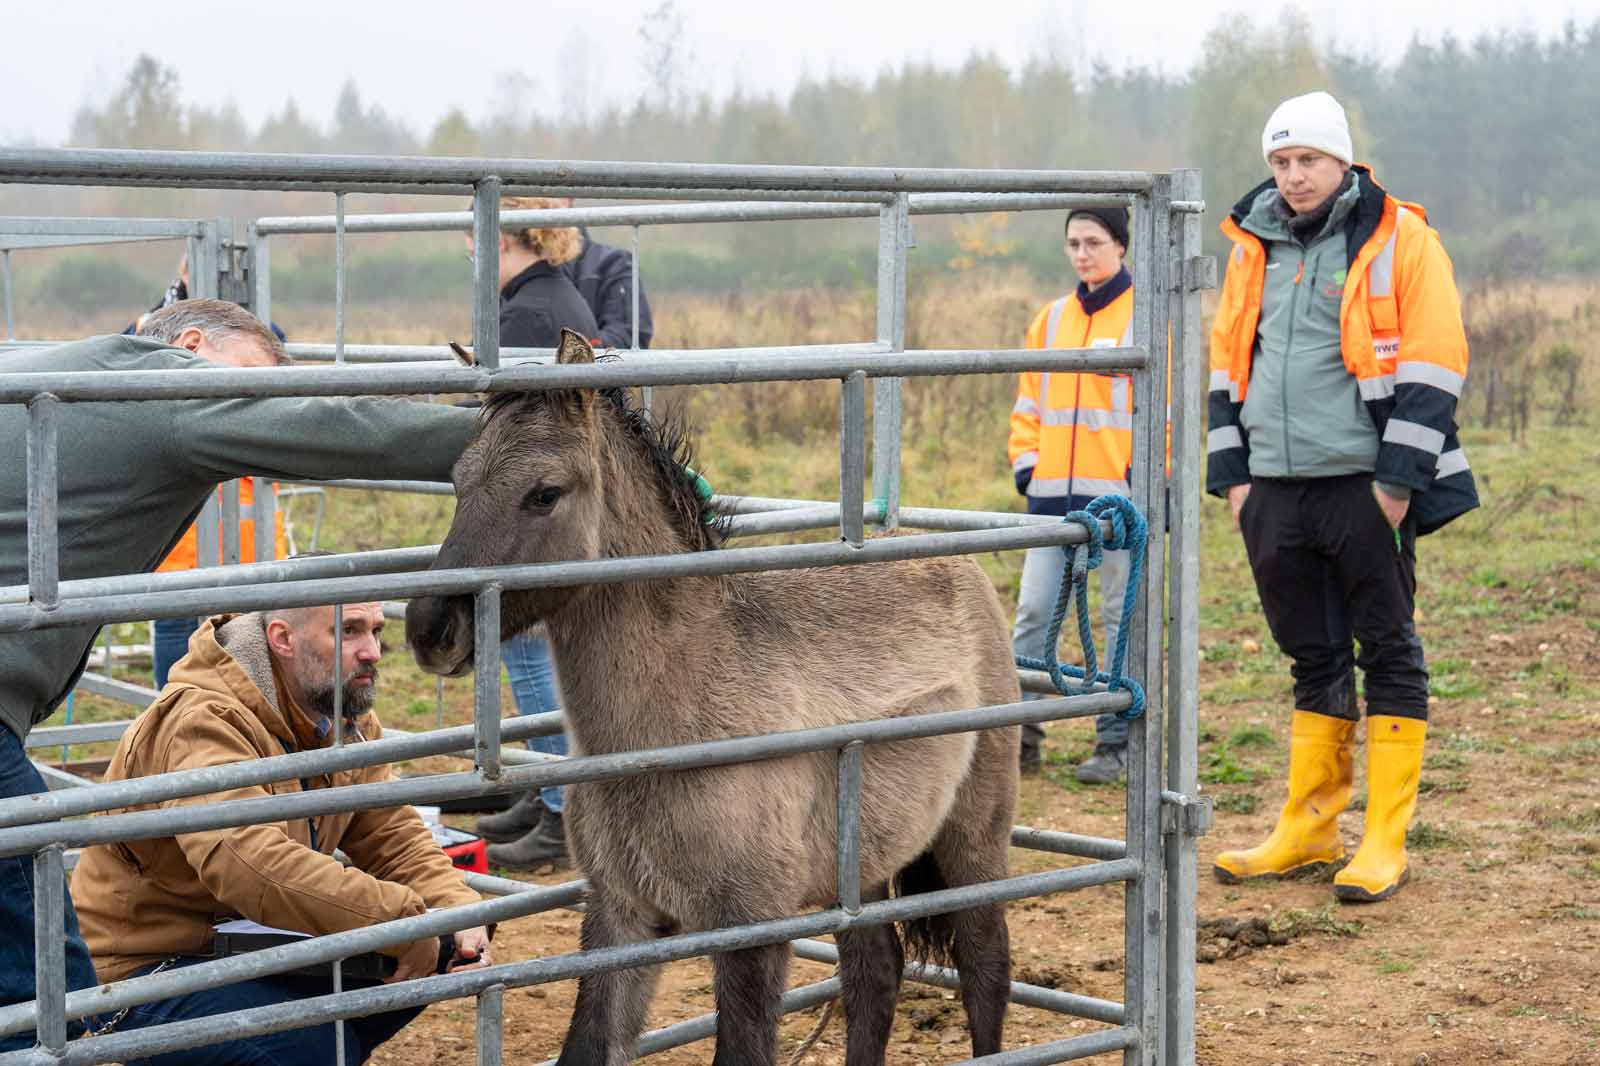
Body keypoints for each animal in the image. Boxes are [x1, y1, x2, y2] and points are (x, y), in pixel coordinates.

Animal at [407, 330, 1020, 1066]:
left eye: (544, 492)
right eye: (458, 481)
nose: (429, 628)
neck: (666, 729)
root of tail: (955, 560)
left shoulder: (750, 933)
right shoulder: (619, 916)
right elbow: (589, 1045)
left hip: (972, 838)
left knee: (984, 967)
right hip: (865, 862)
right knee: (875, 971)